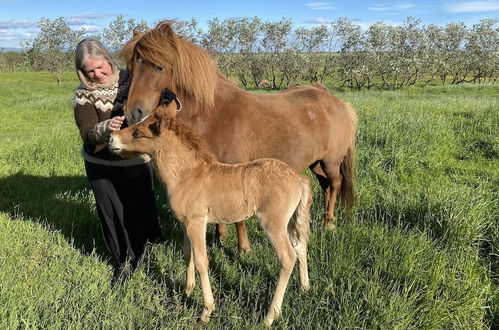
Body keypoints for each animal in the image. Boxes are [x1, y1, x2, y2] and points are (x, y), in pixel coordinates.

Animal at [111, 102, 310, 324]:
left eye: (139, 133)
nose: (111, 138)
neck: (186, 175)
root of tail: (298, 179)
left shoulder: (197, 222)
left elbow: (201, 261)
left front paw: (206, 311)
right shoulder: (185, 223)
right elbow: (187, 254)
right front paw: (187, 290)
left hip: (273, 223)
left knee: (288, 257)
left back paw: (269, 316)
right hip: (290, 221)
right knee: (300, 246)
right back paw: (304, 288)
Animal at [122, 20, 360, 253]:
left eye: (158, 66)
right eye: (131, 68)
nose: (134, 113)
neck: (213, 113)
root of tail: (337, 102)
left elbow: (239, 217)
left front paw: (243, 248)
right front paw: (219, 238)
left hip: (331, 162)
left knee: (335, 183)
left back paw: (329, 223)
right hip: (316, 163)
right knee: (326, 185)